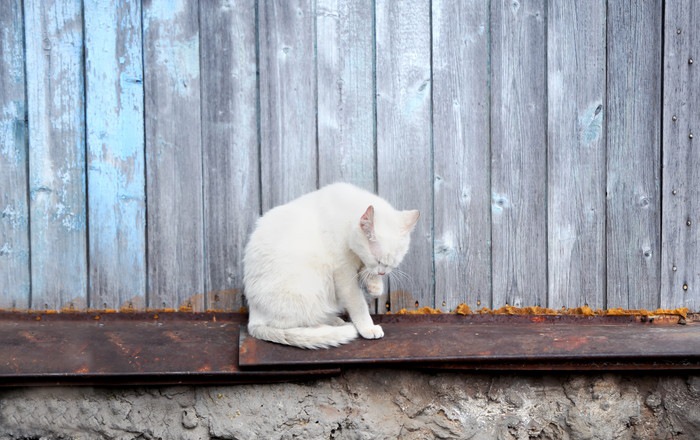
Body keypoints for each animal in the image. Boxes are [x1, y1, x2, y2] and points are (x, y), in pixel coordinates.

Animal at [243, 181, 418, 348]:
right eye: (378, 260)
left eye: (392, 264)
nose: (382, 273)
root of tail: (254, 317)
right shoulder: (344, 275)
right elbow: (358, 303)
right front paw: (368, 327)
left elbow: (366, 271)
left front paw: (375, 286)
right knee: (291, 324)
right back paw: (327, 327)